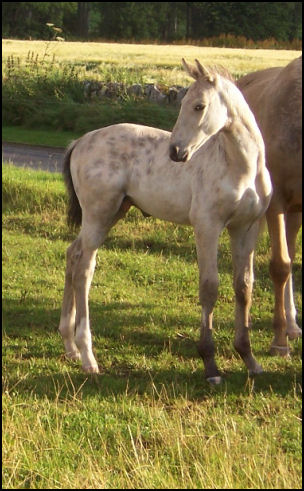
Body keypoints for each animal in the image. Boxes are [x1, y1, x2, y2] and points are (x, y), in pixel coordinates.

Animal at [58, 58, 272, 384]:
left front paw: (249, 359)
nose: (176, 152)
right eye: (182, 102)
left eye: (198, 106)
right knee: (85, 267)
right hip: (98, 214)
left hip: (114, 212)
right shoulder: (207, 226)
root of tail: (81, 141)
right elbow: (209, 287)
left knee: (73, 254)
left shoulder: (246, 228)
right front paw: (210, 366)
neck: (239, 166)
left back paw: (70, 346)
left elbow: (244, 286)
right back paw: (88, 357)